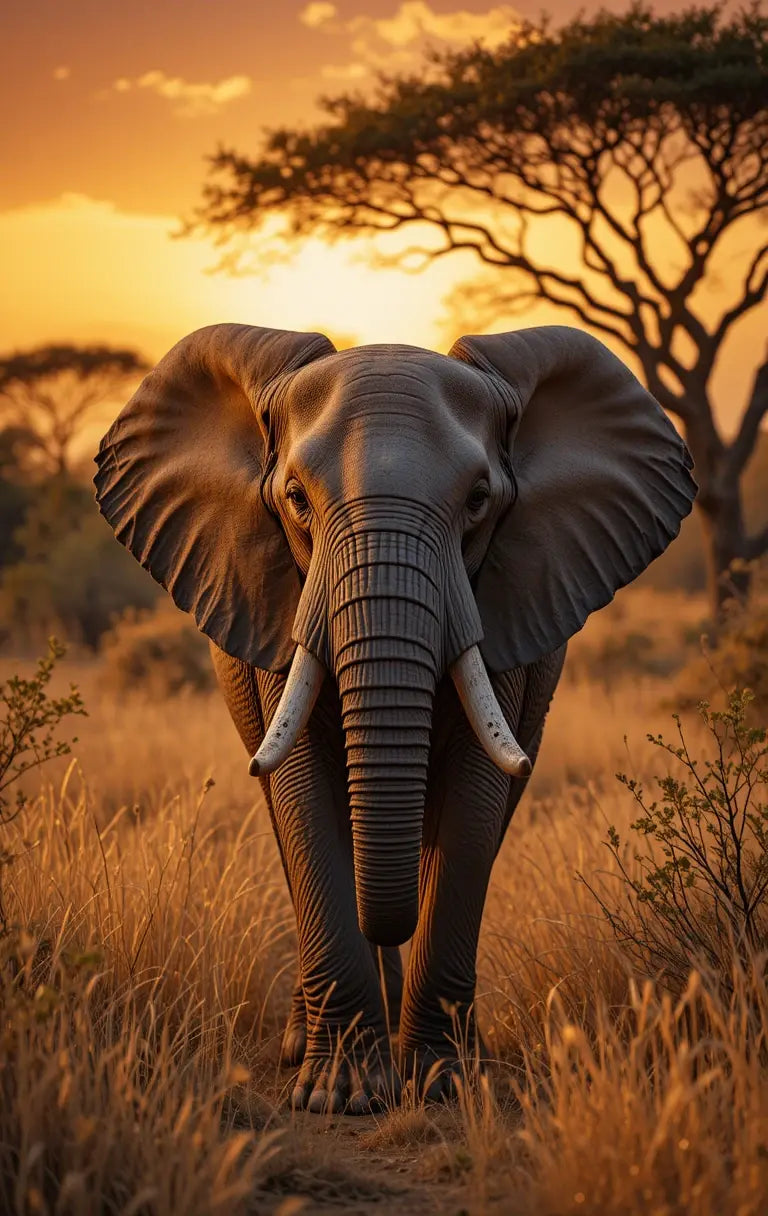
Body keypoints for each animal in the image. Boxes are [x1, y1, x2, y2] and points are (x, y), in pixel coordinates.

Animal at [94, 322, 696, 1114]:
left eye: (478, 500)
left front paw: (442, 1082)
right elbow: (302, 795)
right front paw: (343, 1094)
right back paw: (303, 1044)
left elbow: (472, 805)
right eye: (296, 499)